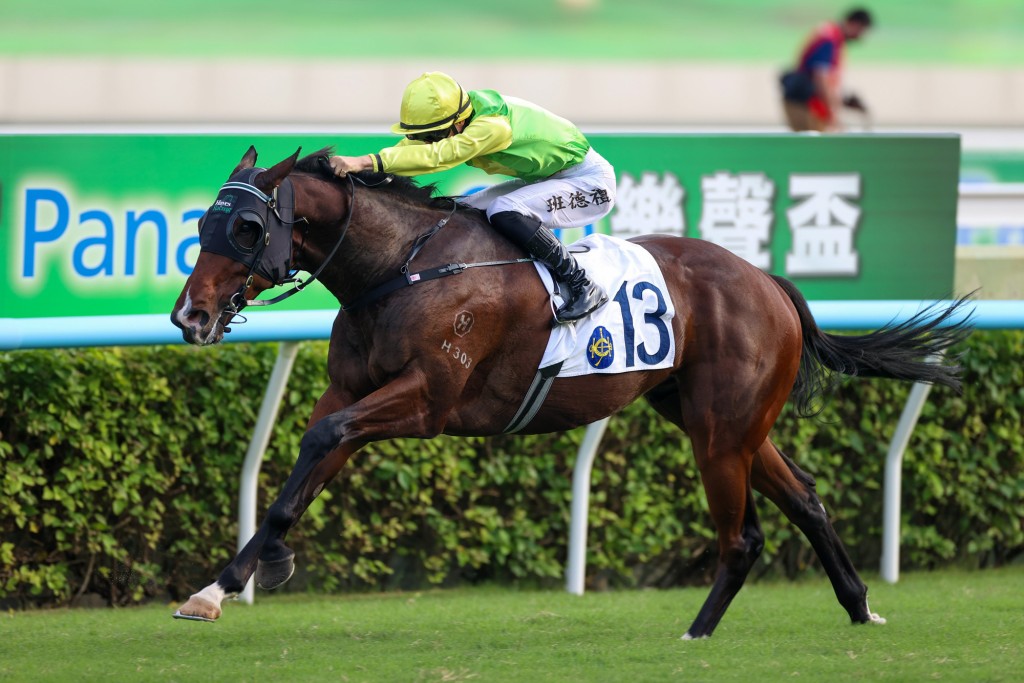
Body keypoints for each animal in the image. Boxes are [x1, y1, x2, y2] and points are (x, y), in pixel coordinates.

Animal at [170, 145, 972, 639]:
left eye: (247, 228)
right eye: (204, 221)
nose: (190, 316)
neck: (400, 268)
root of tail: (767, 279)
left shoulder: (426, 399)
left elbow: (322, 442)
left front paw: (255, 570)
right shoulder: (348, 391)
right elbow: (303, 467)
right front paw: (225, 583)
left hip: (721, 433)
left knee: (743, 536)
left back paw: (697, 631)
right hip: (724, 420)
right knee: (806, 499)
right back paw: (860, 608)